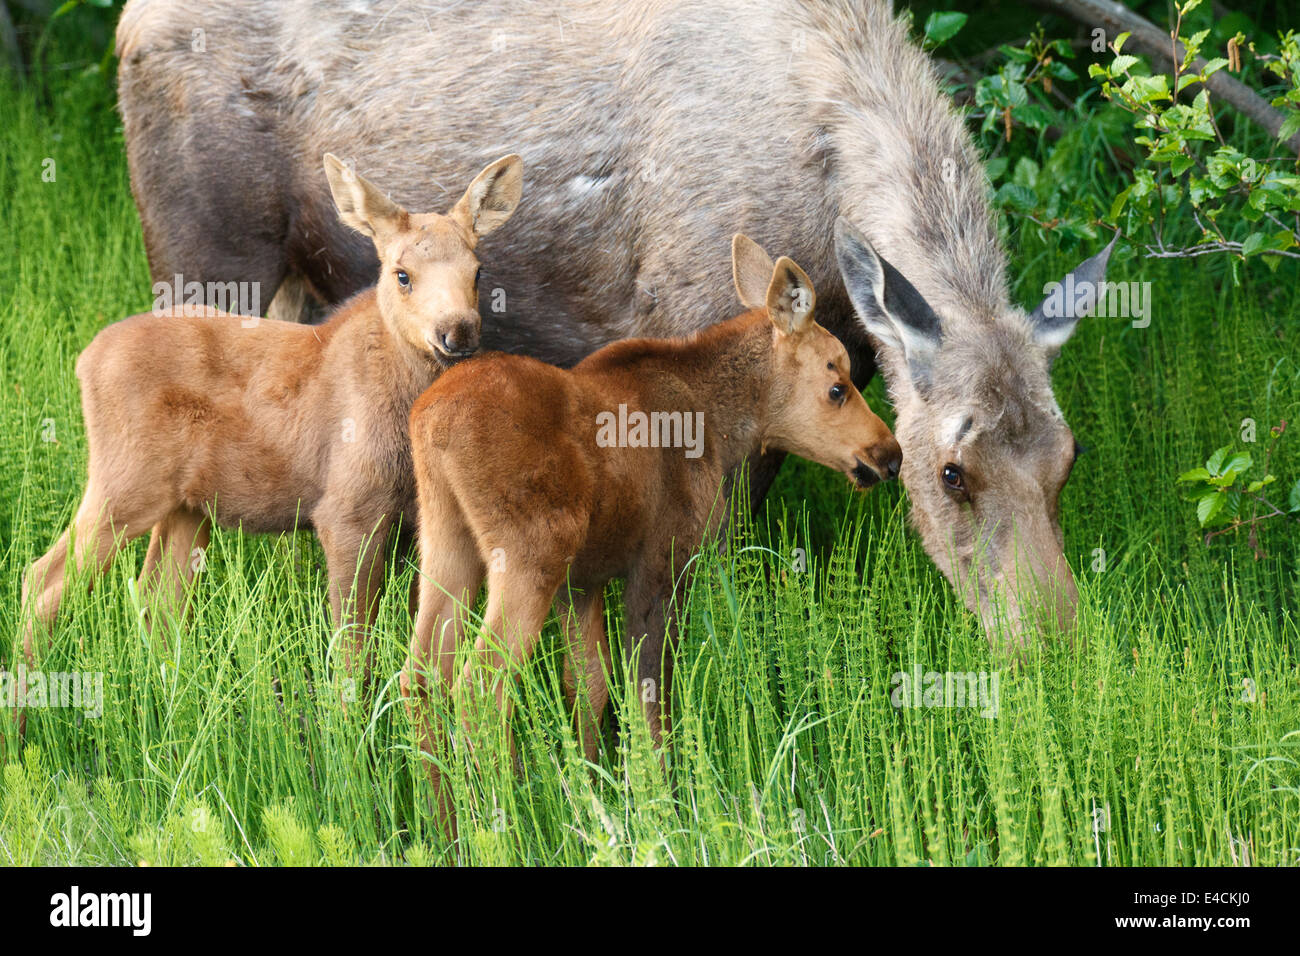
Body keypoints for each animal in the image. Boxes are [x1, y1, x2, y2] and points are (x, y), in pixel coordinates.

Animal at [20, 149, 522, 691]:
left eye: (478, 271)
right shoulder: (345, 510)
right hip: (125, 483)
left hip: (184, 508)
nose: (458, 332)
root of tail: (84, 360)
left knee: (158, 600)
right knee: (41, 581)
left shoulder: (415, 518)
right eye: (402, 273)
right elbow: (352, 650)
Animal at [405, 235, 904, 811]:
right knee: (481, 687)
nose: (890, 454)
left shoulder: (583, 582)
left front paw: (597, 792)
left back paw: (445, 819)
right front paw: (664, 800)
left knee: (421, 676)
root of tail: (431, 421)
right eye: (837, 387)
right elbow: (649, 695)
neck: (721, 422)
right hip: (531, 555)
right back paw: (508, 813)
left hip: (446, 541)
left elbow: (590, 685)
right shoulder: (662, 564)